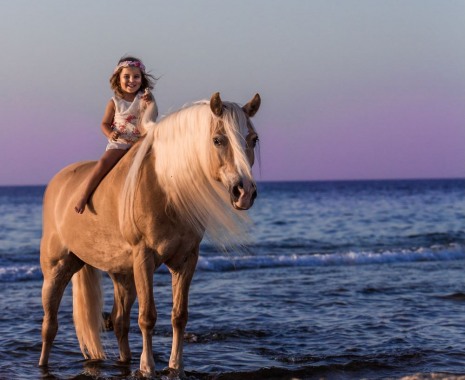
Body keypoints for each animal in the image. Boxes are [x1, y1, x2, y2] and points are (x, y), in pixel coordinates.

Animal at [38, 92, 260, 378]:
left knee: (119, 321)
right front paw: (148, 367)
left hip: (122, 275)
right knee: (50, 324)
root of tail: (58, 182)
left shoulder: (186, 260)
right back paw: (43, 364)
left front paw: (176, 366)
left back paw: (125, 360)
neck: (167, 187)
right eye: (218, 140)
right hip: (56, 269)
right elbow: (147, 317)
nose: (244, 192)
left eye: (253, 139)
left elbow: (179, 315)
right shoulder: (144, 257)